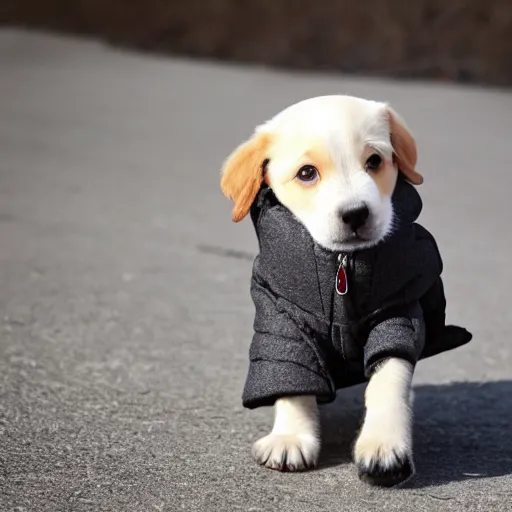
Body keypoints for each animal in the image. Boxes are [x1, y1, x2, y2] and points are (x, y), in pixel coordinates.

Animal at [220, 95, 472, 484]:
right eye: (306, 173)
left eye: (375, 161)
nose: (356, 214)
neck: (342, 266)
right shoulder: (281, 321)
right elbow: (293, 381)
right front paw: (291, 436)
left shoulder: (396, 315)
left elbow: (388, 380)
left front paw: (384, 444)